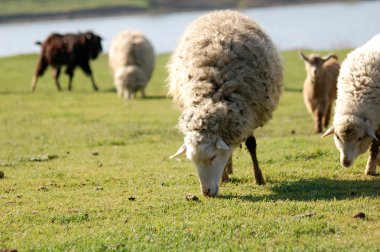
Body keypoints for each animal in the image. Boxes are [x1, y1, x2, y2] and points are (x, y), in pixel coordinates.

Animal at [168, 10, 282, 197]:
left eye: (213, 156)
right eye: (192, 160)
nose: (206, 192)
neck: (212, 97)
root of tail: (223, 12)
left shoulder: (249, 113)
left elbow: (251, 145)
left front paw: (259, 178)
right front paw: (224, 176)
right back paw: (227, 172)